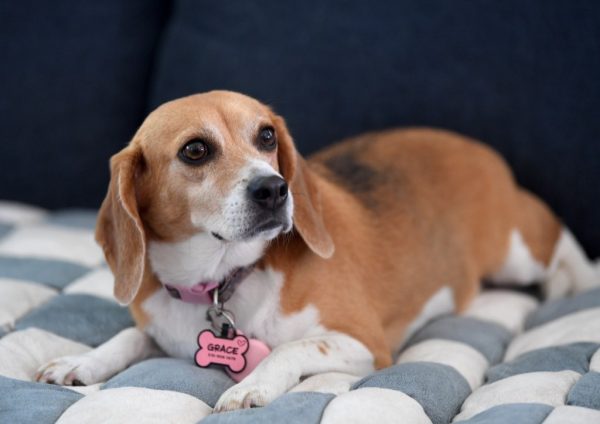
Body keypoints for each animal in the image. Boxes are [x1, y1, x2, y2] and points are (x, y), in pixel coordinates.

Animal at [36, 91, 599, 411]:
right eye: (195, 150)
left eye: (266, 136)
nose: (274, 189)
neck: (221, 280)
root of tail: (476, 146)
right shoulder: (164, 329)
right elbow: (130, 338)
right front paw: (78, 361)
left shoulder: (364, 343)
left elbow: (292, 347)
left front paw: (249, 387)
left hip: (517, 250)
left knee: (560, 241)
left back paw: (570, 281)